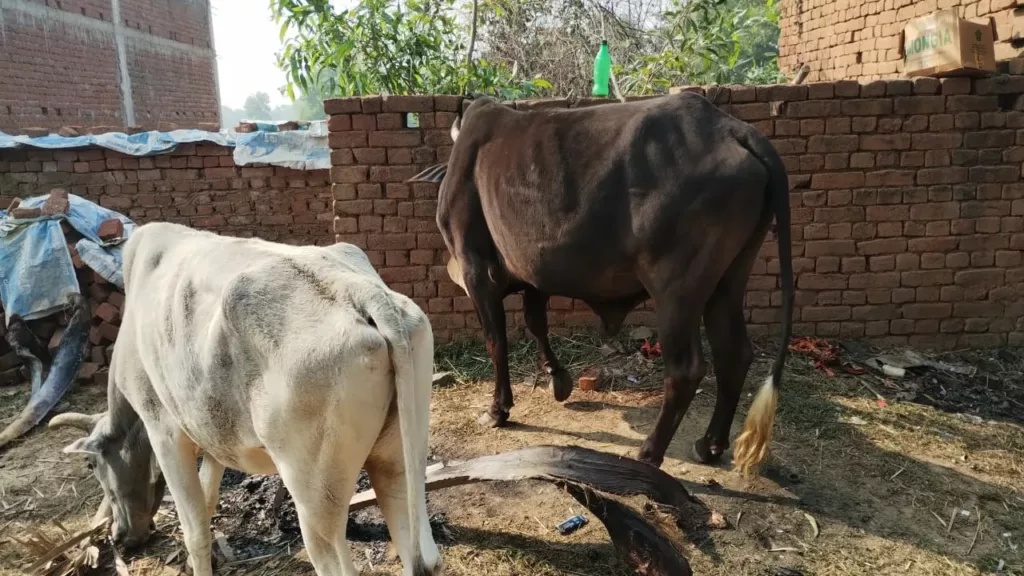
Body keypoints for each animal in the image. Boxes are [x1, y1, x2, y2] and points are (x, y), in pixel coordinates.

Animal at [48, 220, 440, 573]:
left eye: (91, 464)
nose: (119, 535)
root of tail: (355, 289)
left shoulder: (164, 430)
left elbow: (195, 530)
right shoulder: (212, 433)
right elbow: (208, 501)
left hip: (315, 496)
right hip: (399, 462)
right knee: (424, 556)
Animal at [411, 91, 794, 473]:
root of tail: (731, 129)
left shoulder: (477, 270)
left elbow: (496, 342)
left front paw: (498, 410)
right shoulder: (534, 274)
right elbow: (536, 324)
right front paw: (558, 378)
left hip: (676, 291)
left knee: (686, 370)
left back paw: (650, 453)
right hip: (728, 280)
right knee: (734, 354)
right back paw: (710, 445)